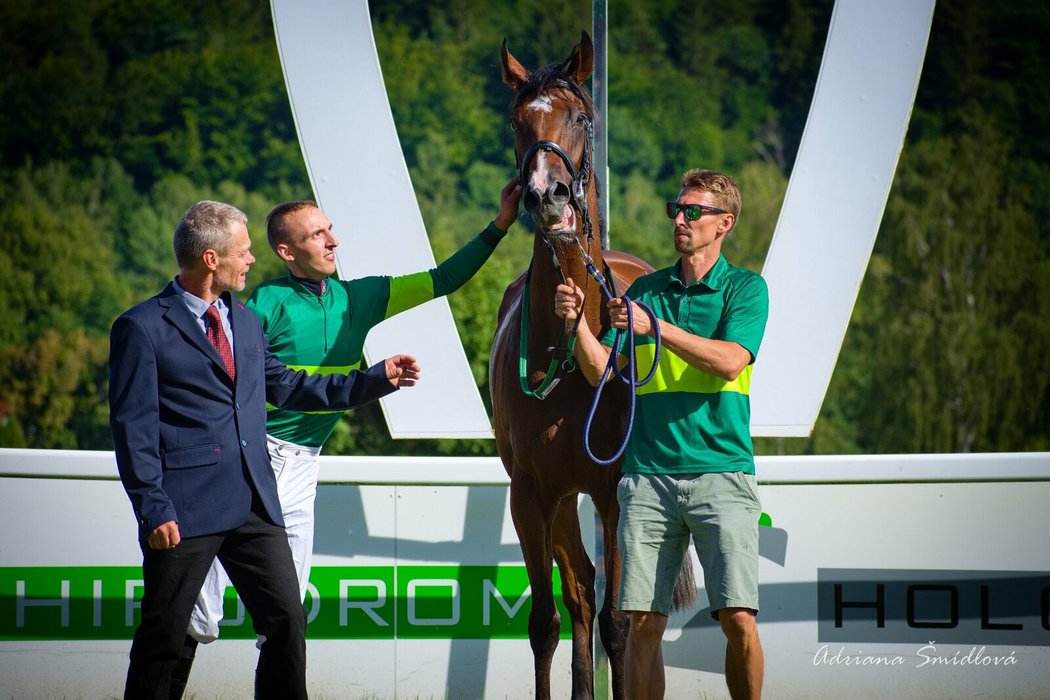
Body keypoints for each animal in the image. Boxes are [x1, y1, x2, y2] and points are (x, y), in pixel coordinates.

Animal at [491, 32, 697, 700]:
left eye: (582, 117)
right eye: (517, 121)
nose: (546, 195)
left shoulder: (613, 494)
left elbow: (617, 624)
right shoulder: (531, 494)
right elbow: (547, 622)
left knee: (625, 616)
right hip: (559, 503)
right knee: (579, 595)